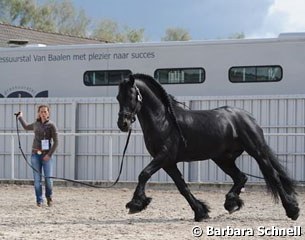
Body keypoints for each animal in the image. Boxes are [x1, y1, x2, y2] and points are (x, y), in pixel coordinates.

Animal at [116, 73, 296, 221]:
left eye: (131, 96)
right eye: (118, 97)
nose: (122, 124)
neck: (164, 121)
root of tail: (247, 117)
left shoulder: (164, 157)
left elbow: (144, 174)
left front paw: (135, 205)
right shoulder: (168, 163)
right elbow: (182, 187)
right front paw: (201, 212)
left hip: (257, 152)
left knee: (273, 176)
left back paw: (292, 210)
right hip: (223, 159)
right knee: (241, 177)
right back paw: (231, 203)